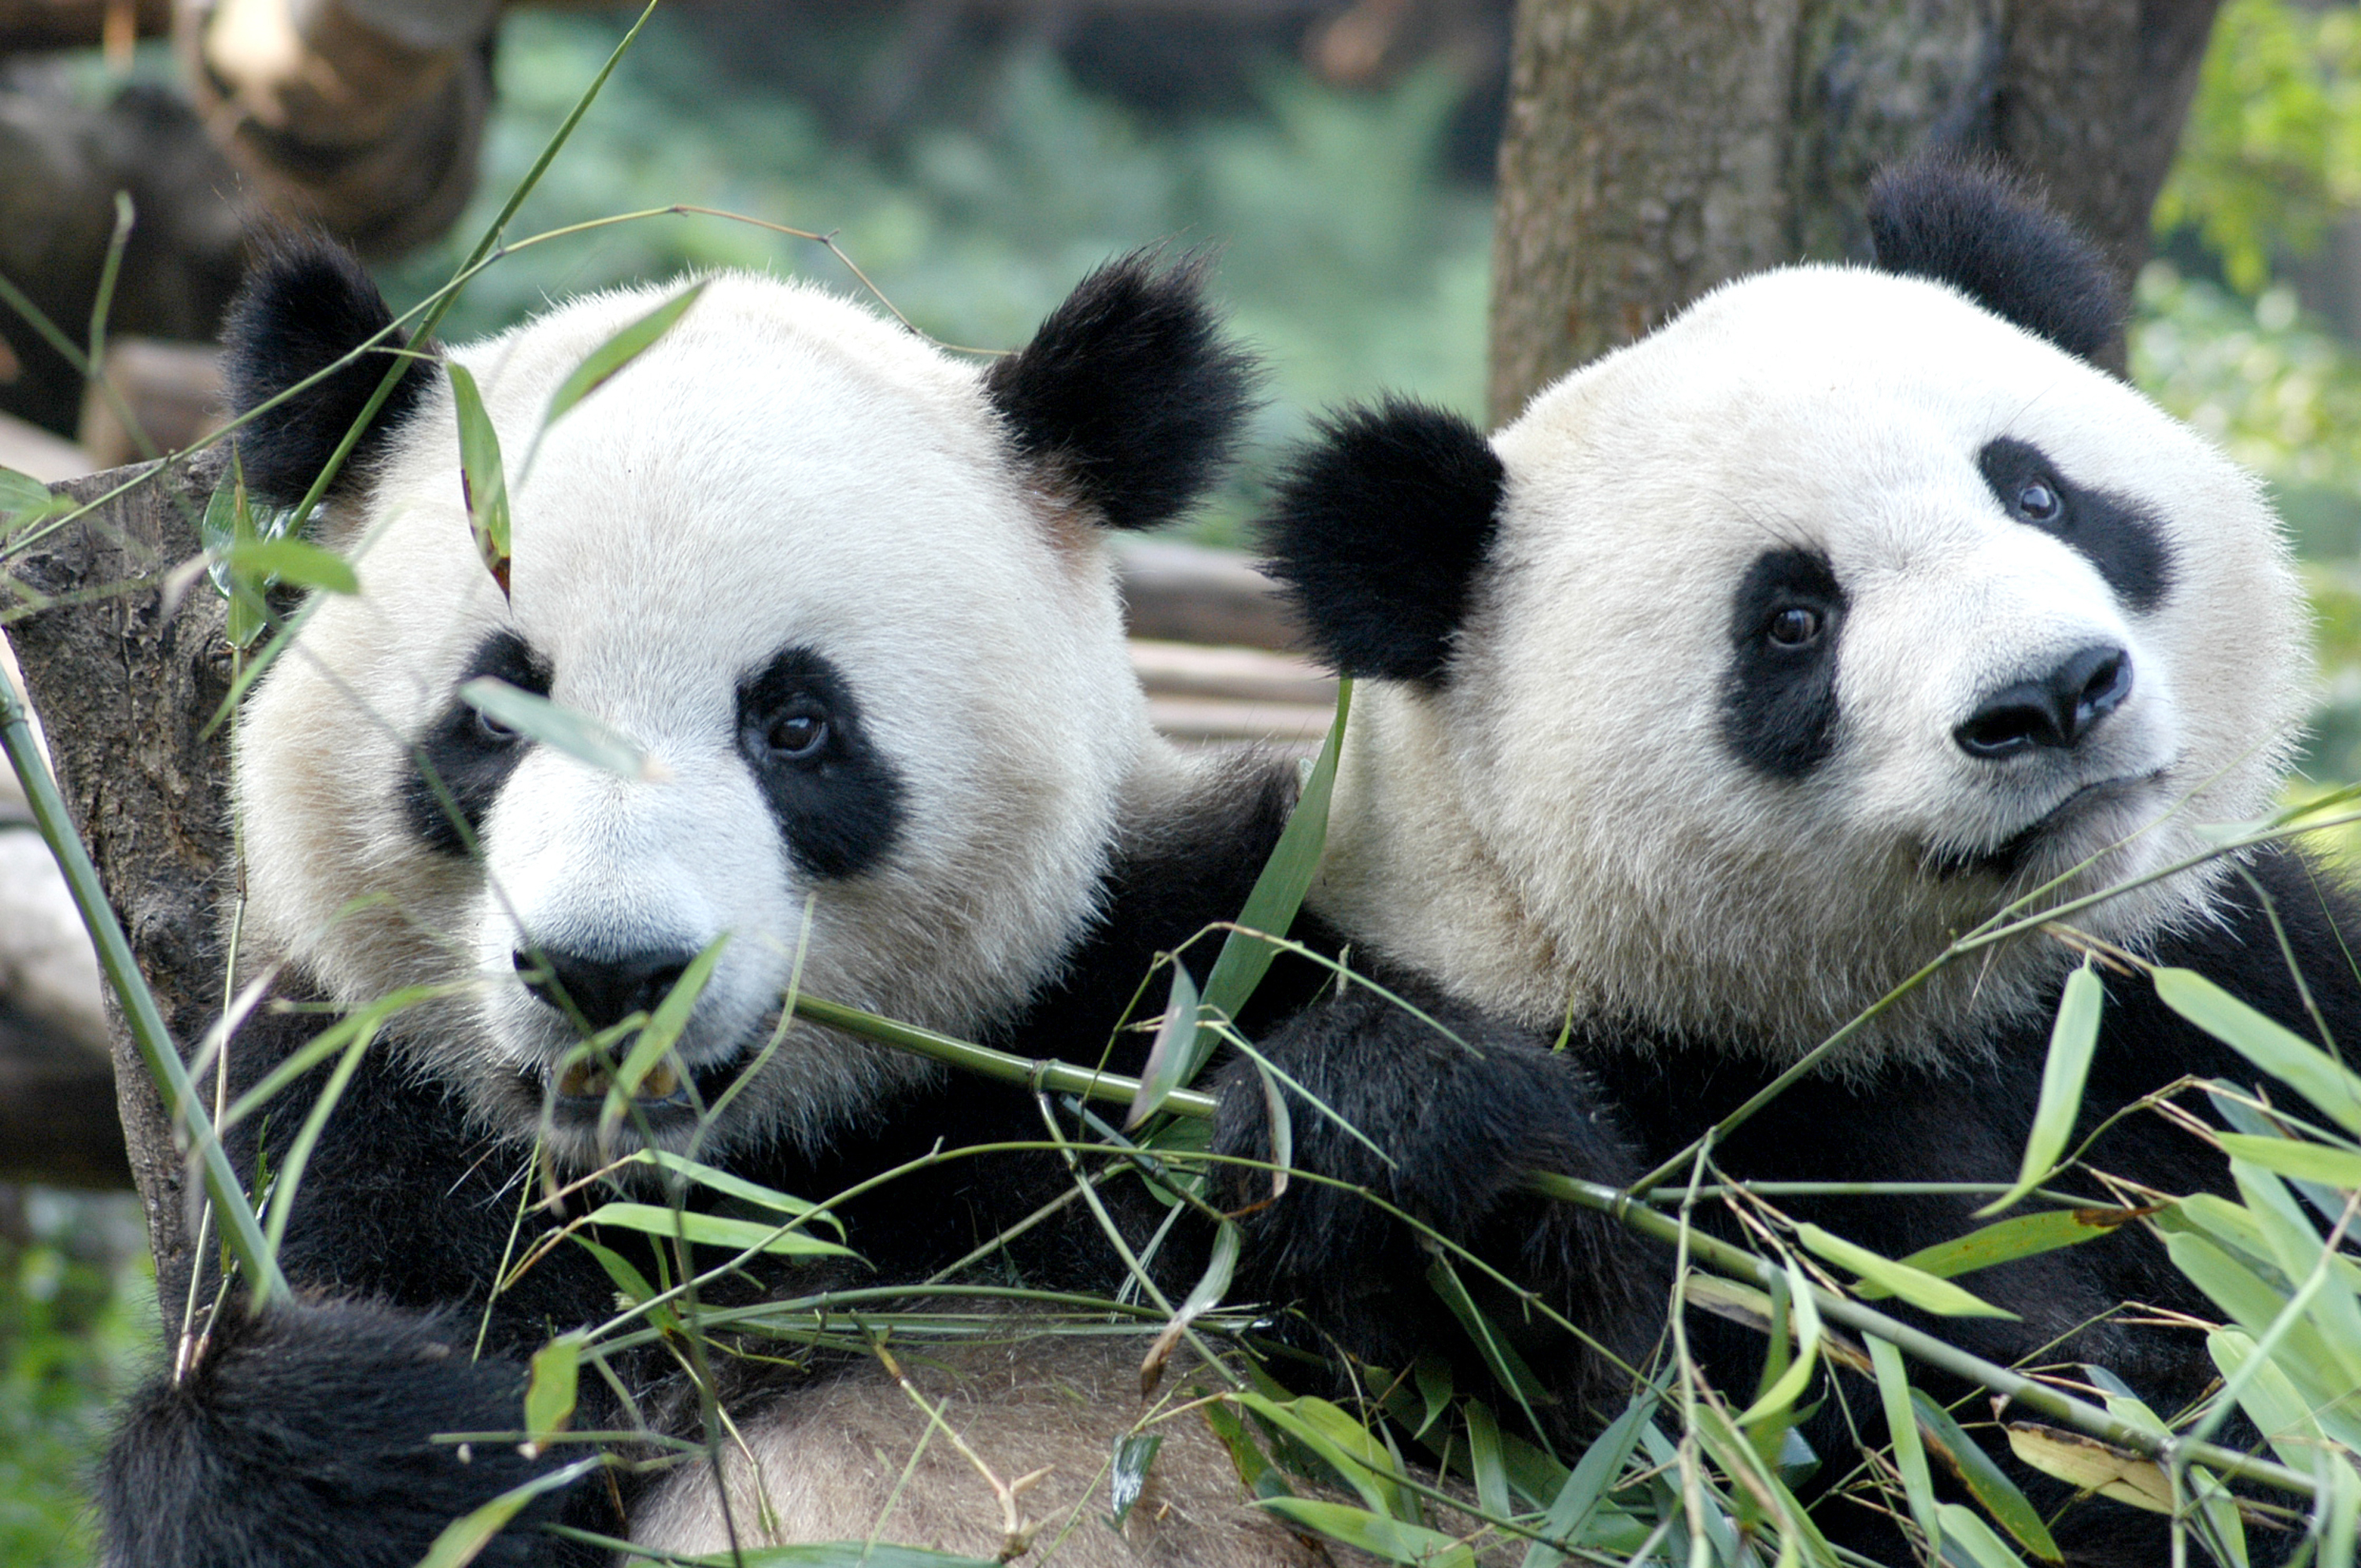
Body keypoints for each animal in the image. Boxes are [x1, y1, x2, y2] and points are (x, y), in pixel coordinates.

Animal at [92, 242, 1313, 1568]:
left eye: (798, 725)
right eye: (494, 716)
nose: (608, 972)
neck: (727, 1192)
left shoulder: (1141, 971)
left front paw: (1330, 1121)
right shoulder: (355, 1122)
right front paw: (379, 1436)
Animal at [1218, 161, 2342, 1568]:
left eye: (2037, 494)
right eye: (1793, 620)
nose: (2051, 695)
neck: (1970, 1007)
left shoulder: (2218, 986)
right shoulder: (1724, 1121)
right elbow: (1886, 1431)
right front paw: (1403, 1113)